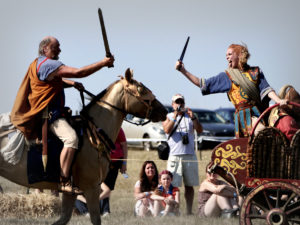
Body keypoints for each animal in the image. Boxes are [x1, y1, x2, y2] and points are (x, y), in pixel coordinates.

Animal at [0, 68, 168, 225]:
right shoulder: (91, 188)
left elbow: (63, 218)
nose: (164, 111)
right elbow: (95, 218)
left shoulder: (70, 193)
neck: (92, 133)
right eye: (141, 90)